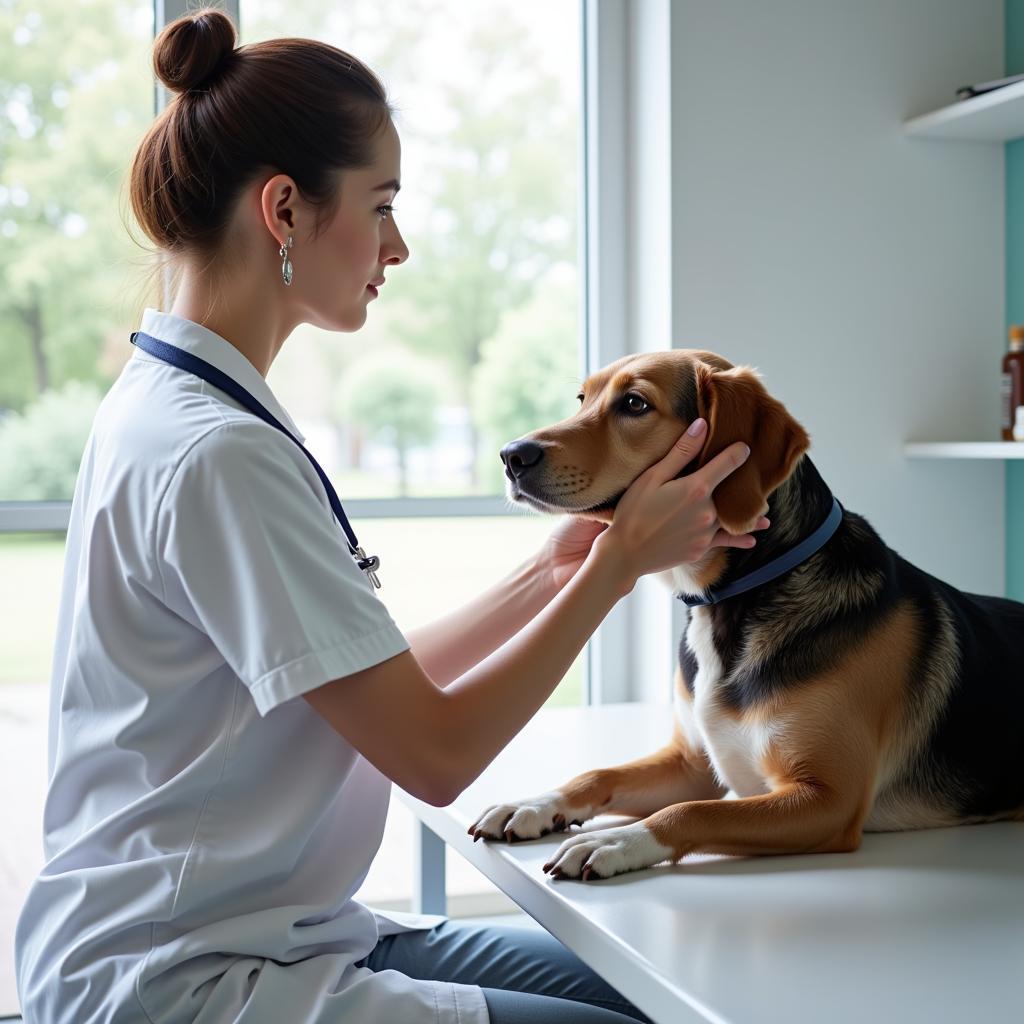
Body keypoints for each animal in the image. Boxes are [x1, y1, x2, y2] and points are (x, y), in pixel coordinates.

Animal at [466, 348, 1024, 876]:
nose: (511, 455)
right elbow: (598, 773)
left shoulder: (828, 799)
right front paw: (536, 803)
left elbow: (689, 813)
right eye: (582, 399)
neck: (729, 602)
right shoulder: (693, 763)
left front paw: (616, 841)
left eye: (635, 404)